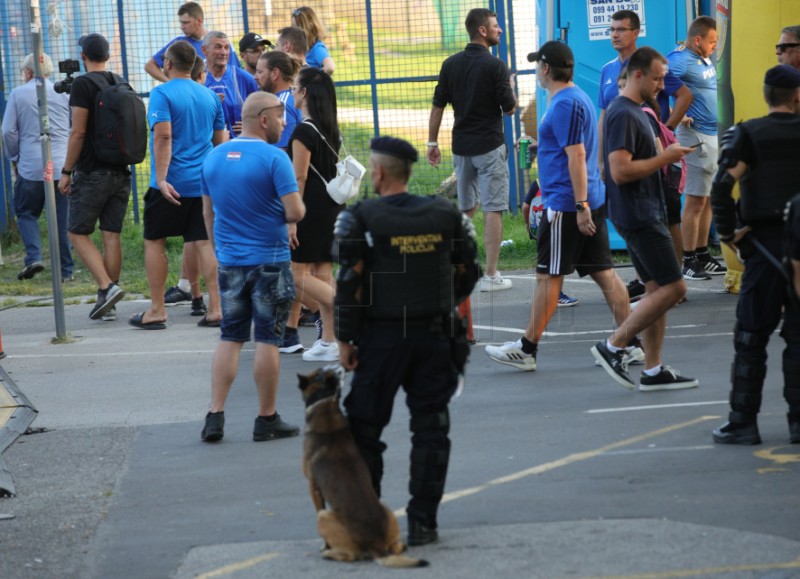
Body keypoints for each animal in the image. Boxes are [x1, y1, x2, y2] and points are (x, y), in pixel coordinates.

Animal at [296, 370, 428, 568]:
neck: (325, 406)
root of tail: (377, 546)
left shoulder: (313, 487)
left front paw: (324, 546)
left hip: (324, 517)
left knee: (349, 556)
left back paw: (329, 553)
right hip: (387, 509)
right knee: (396, 547)